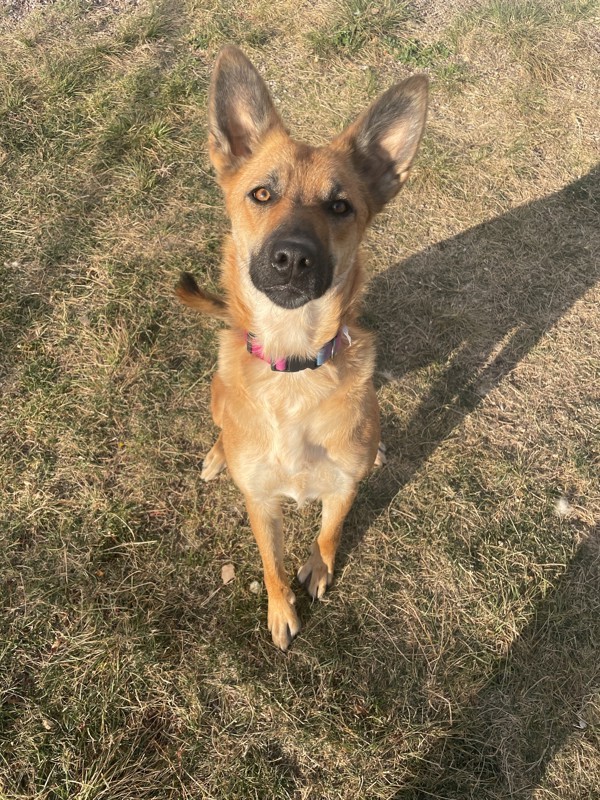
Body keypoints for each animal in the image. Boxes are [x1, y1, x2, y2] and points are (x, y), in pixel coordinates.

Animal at [176, 45, 428, 648]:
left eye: (340, 207)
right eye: (261, 194)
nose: (292, 257)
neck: (292, 369)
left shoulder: (341, 490)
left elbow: (330, 532)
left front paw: (317, 568)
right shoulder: (261, 504)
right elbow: (271, 563)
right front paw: (280, 607)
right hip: (217, 396)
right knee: (220, 426)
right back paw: (218, 453)